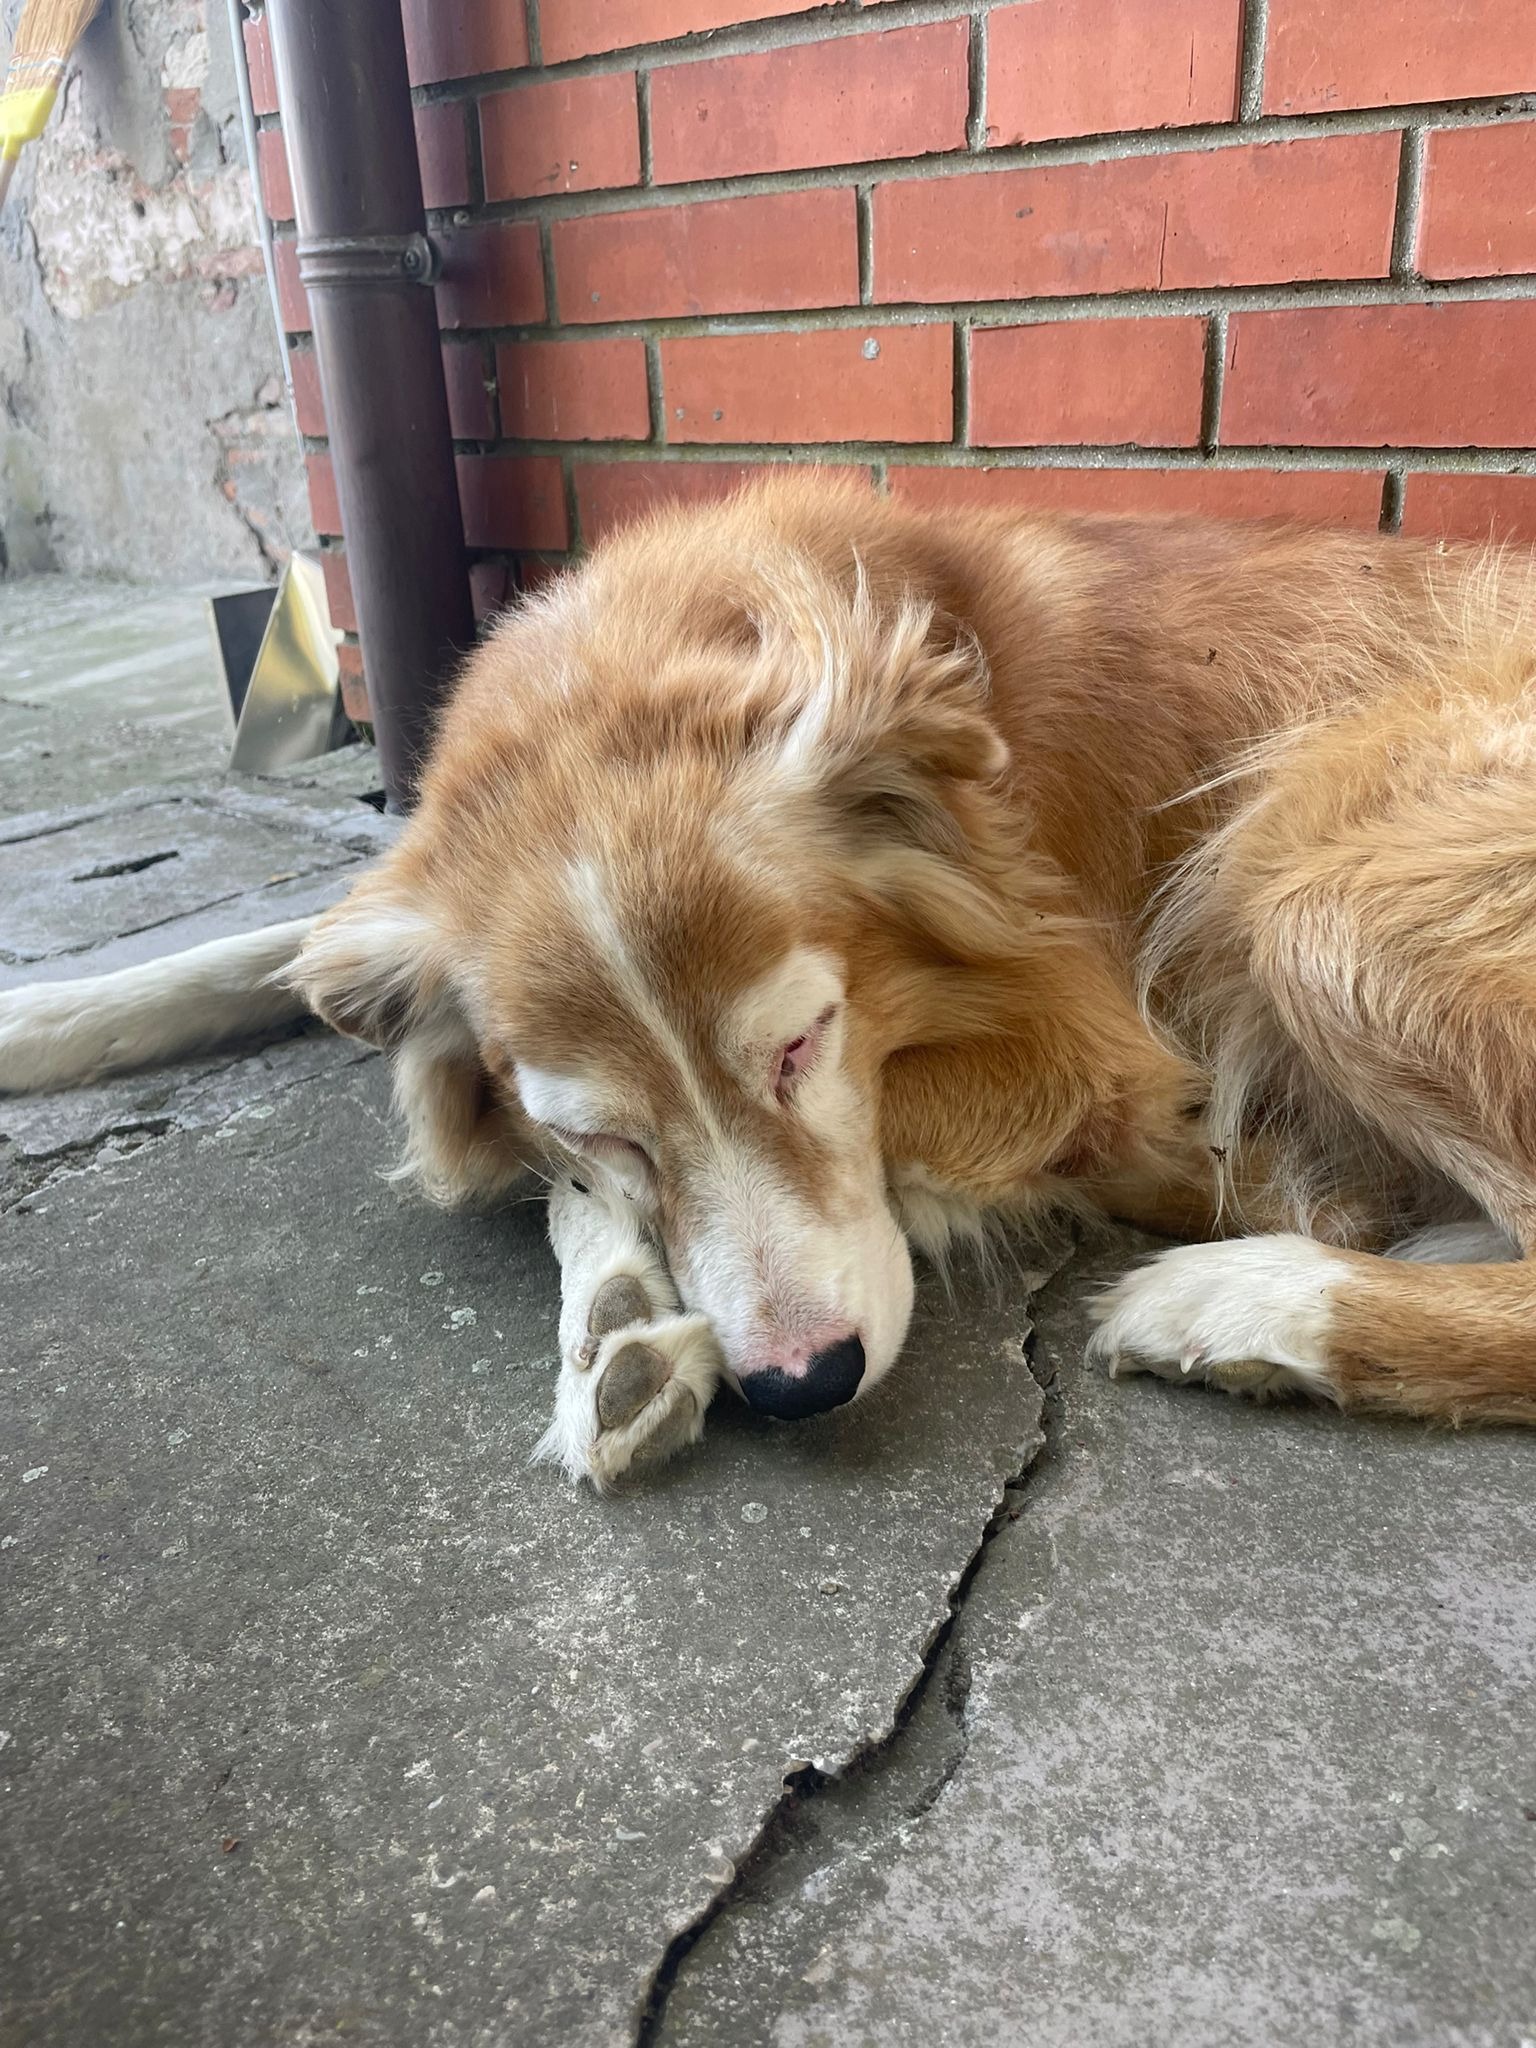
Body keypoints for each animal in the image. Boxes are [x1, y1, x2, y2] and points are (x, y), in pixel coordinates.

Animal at [3, 477, 1534, 1486]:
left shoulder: (1094, 1044)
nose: (805, 1386)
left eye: (805, 1047)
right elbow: (296, 949)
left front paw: (618, 1306)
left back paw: (1248, 1296)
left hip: (1308, 884)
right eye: (605, 1121)